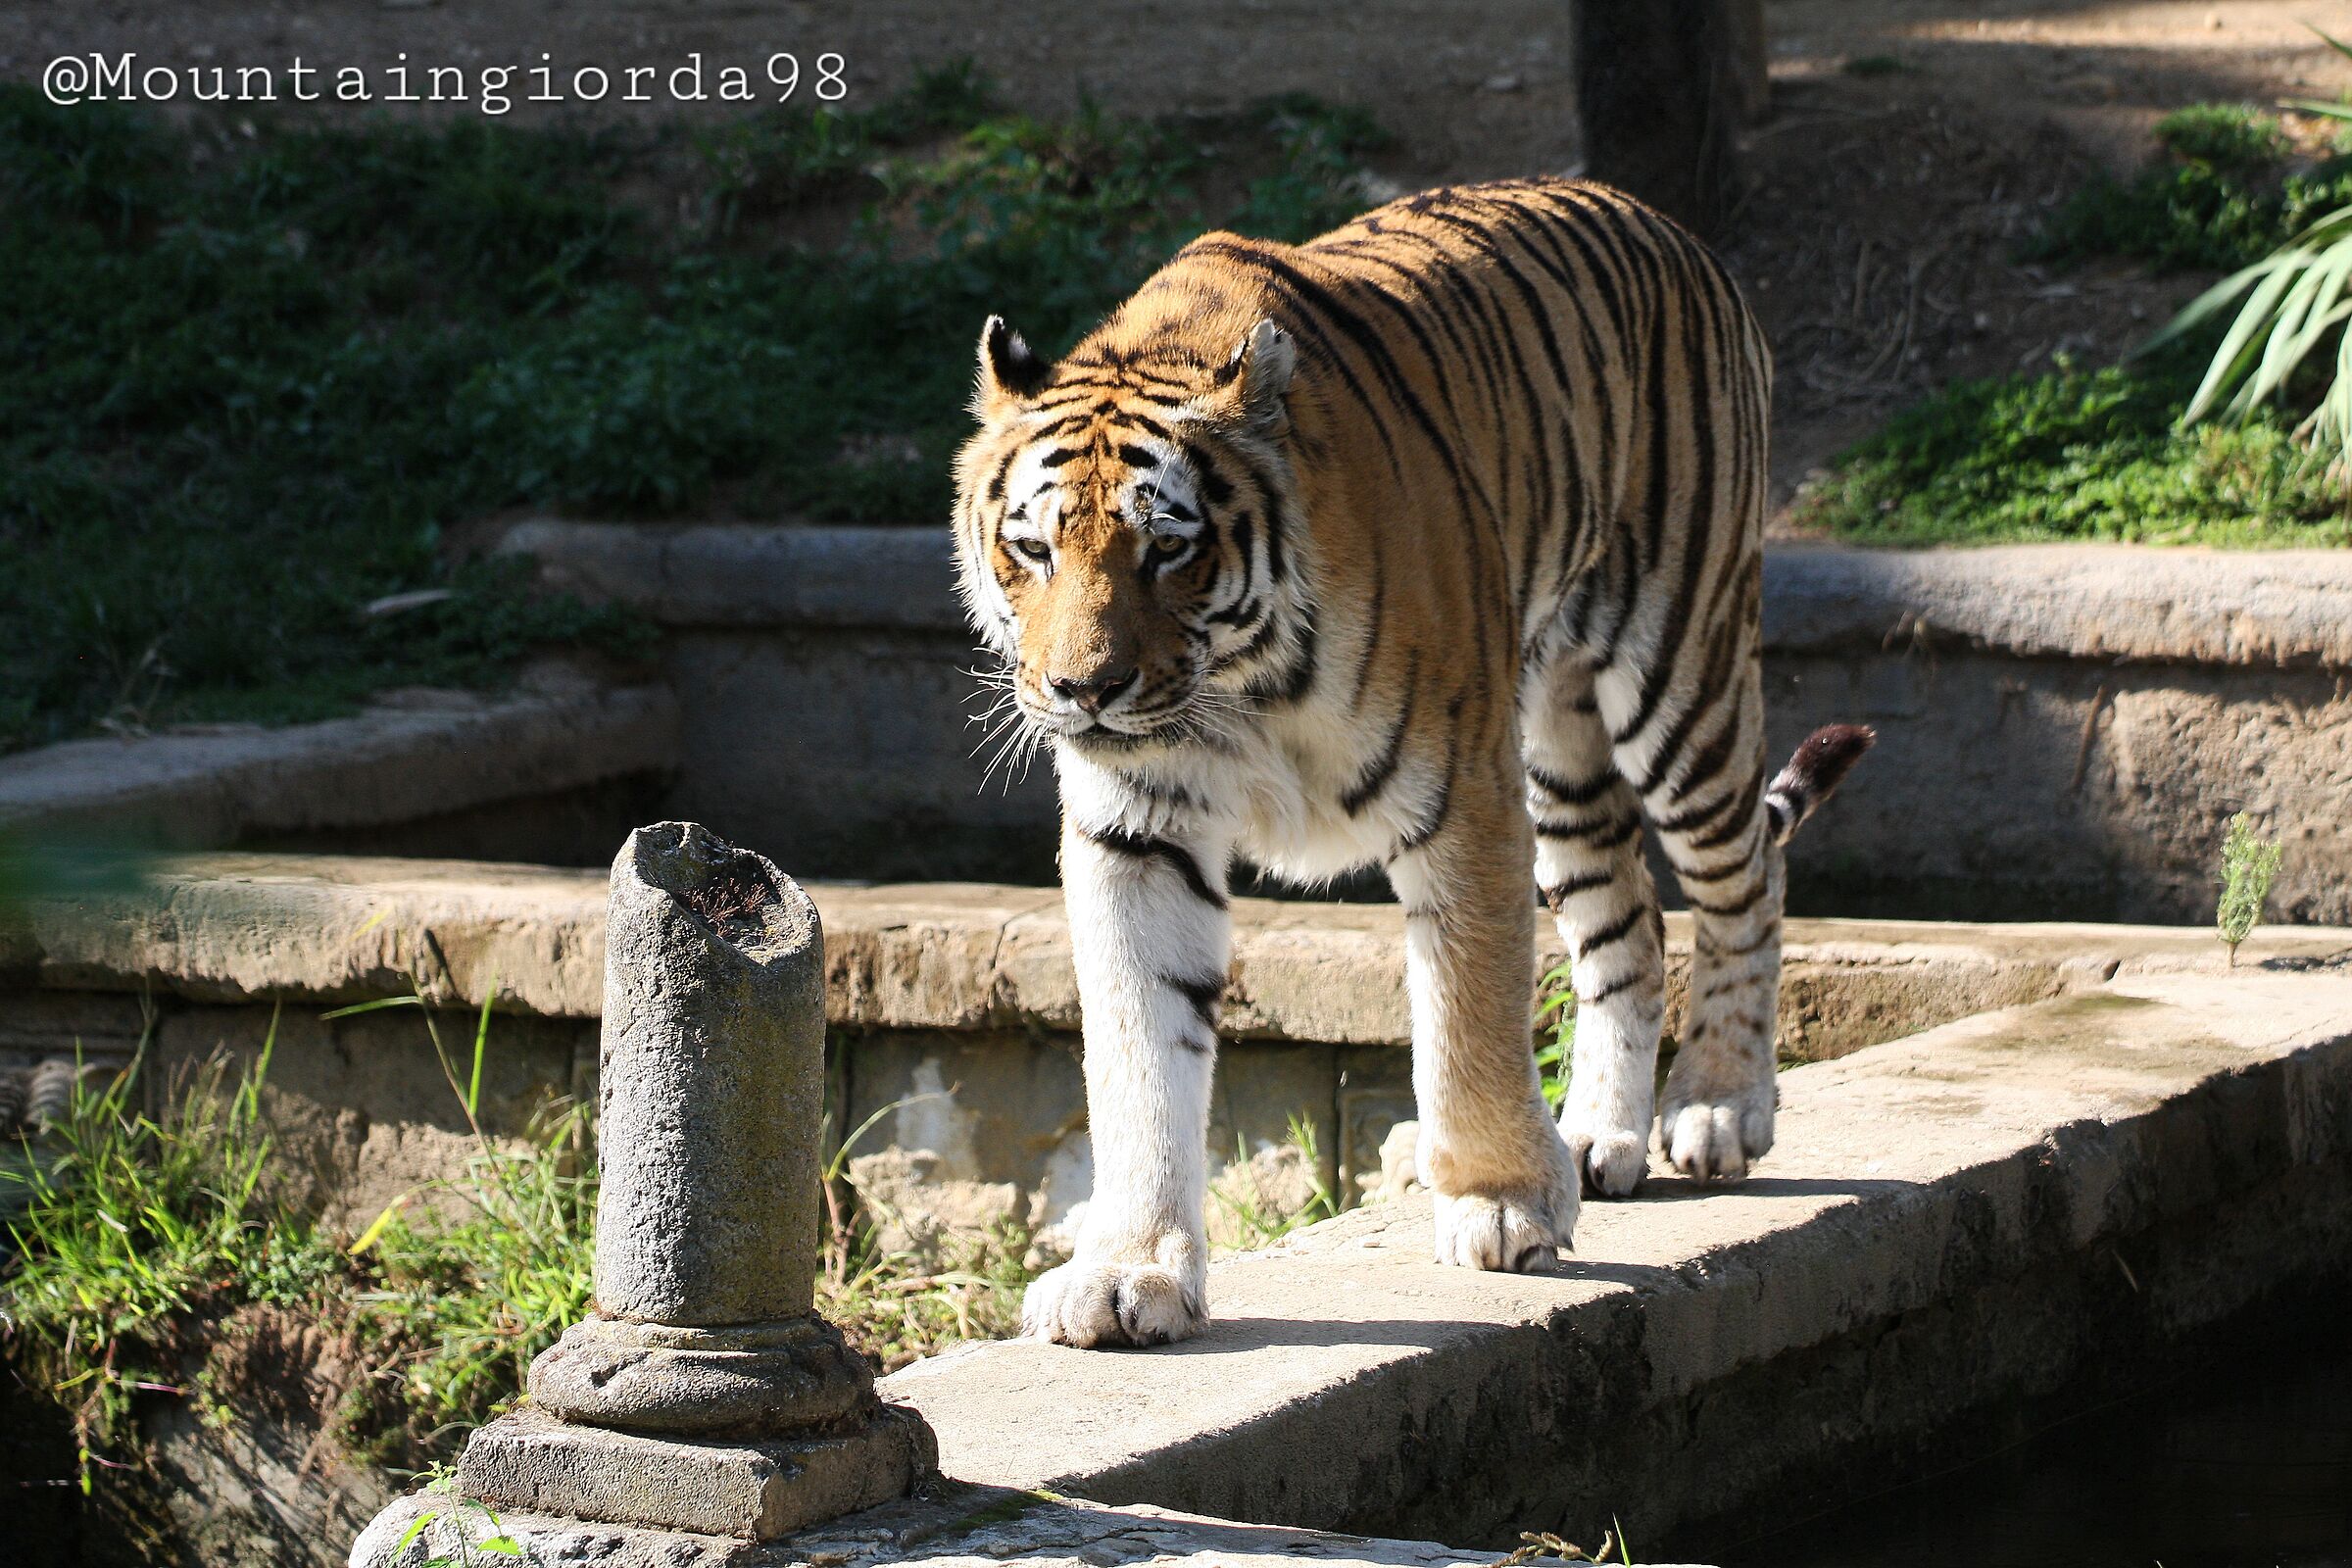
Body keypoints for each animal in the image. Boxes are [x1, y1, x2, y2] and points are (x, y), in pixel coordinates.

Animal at [951, 176, 1872, 1349]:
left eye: (1167, 547)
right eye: (1033, 549)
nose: (1084, 691)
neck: (1241, 685)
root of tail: (1663, 223)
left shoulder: (1462, 796)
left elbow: (1469, 1010)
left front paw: (1501, 1204)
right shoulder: (1138, 830)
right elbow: (1137, 1052)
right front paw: (1128, 1271)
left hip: (1680, 673)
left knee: (1744, 874)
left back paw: (1717, 1106)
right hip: (1560, 748)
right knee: (1627, 917)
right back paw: (1598, 1138)